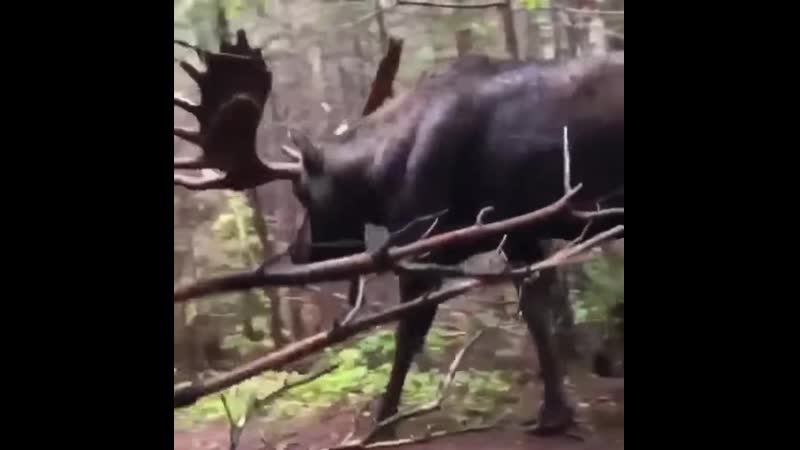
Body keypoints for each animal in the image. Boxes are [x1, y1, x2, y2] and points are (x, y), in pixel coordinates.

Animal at [173, 30, 623, 435]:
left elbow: (408, 335)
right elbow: (537, 316)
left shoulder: (421, 245)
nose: (298, 249)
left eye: (303, 192)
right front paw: (556, 414)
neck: (382, 173)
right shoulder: (520, 237)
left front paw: (382, 422)